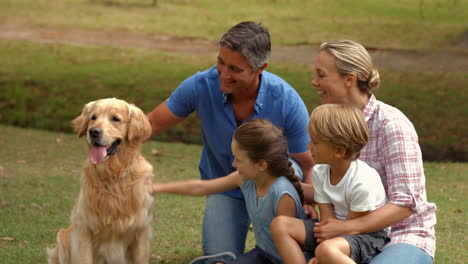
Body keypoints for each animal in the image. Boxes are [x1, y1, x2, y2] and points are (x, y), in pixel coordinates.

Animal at [48, 98, 154, 264]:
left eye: (115, 119)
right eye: (93, 117)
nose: (93, 131)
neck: (112, 175)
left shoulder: (141, 230)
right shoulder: (84, 230)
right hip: (62, 239)